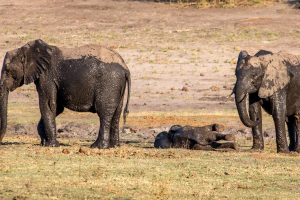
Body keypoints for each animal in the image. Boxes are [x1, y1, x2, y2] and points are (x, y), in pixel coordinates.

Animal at [0, 39, 131, 148]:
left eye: (8, 70)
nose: (1, 142)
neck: (26, 50)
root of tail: (126, 68)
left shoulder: (47, 77)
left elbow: (48, 105)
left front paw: (51, 145)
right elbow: (57, 108)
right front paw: (44, 141)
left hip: (109, 83)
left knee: (104, 112)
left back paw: (97, 146)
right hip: (116, 86)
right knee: (116, 113)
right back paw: (114, 146)